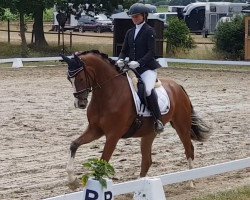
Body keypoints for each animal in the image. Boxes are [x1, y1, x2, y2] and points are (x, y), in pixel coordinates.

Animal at [61, 50, 211, 188]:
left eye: (80, 78)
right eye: (69, 79)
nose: (80, 103)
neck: (108, 94)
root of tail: (178, 86)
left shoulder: (113, 135)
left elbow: (103, 160)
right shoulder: (95, 130)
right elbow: (74, 144)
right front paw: (72, 181)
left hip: (182, 125)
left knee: (189, 149)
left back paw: (190, 181)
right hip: (150, 133)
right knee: (147, 160)